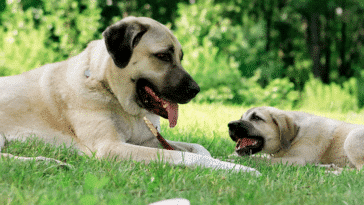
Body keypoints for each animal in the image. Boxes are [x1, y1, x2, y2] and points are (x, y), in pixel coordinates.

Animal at [0, 16, 262, 175]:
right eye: (163, 56)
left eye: (180, 57)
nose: (196, 90)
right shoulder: (111, 147)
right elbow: (187, 157)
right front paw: (240, 170)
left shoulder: (147, 140)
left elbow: (198, 147)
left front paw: (234, 160)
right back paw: (46, 163)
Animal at [228, 106, 364, 169]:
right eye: (241, 117)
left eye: (256, 118)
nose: (229, 125)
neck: (295, 136)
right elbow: (263, 156)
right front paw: (232, 156)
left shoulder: (297, 160)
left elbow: (260, 159)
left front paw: (235, 160)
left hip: (351, 139)